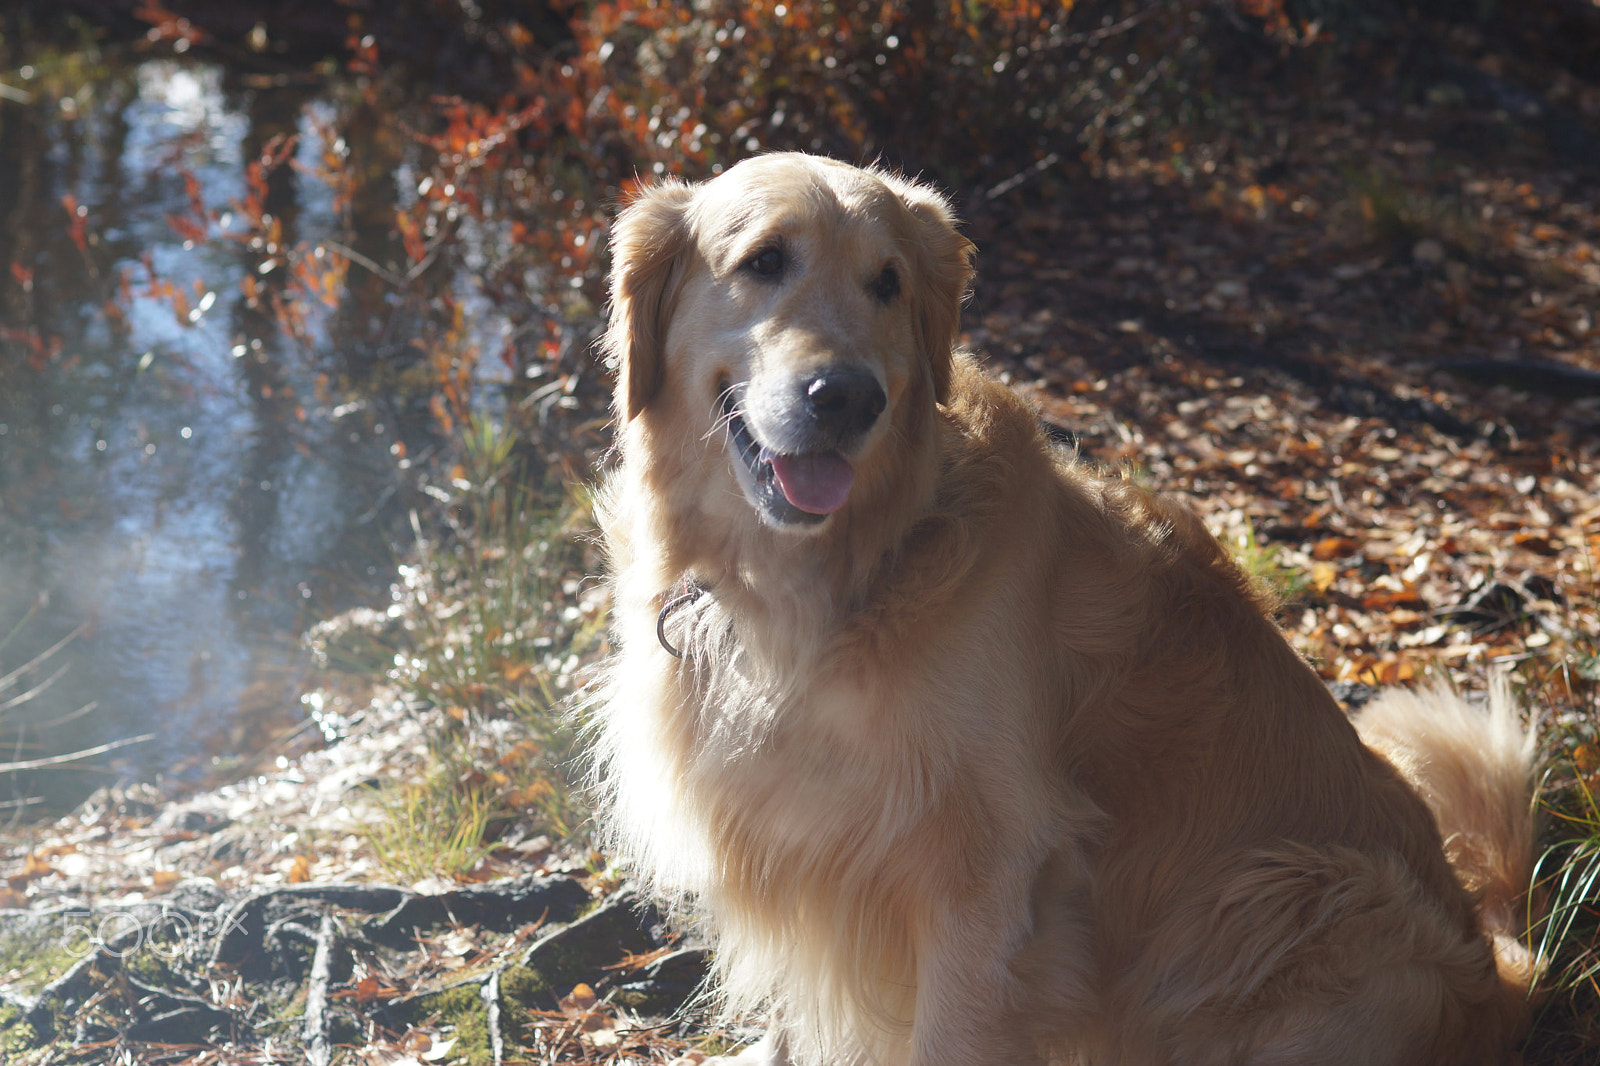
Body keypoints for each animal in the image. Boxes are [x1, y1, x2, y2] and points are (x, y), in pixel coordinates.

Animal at [588, 156, 1536, 1062]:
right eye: (764, 261)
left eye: (887, 282)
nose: (850, 398)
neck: (827, 575)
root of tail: (1500, 983)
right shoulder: (789, 821)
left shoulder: (988, 869)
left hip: (1287, 894)